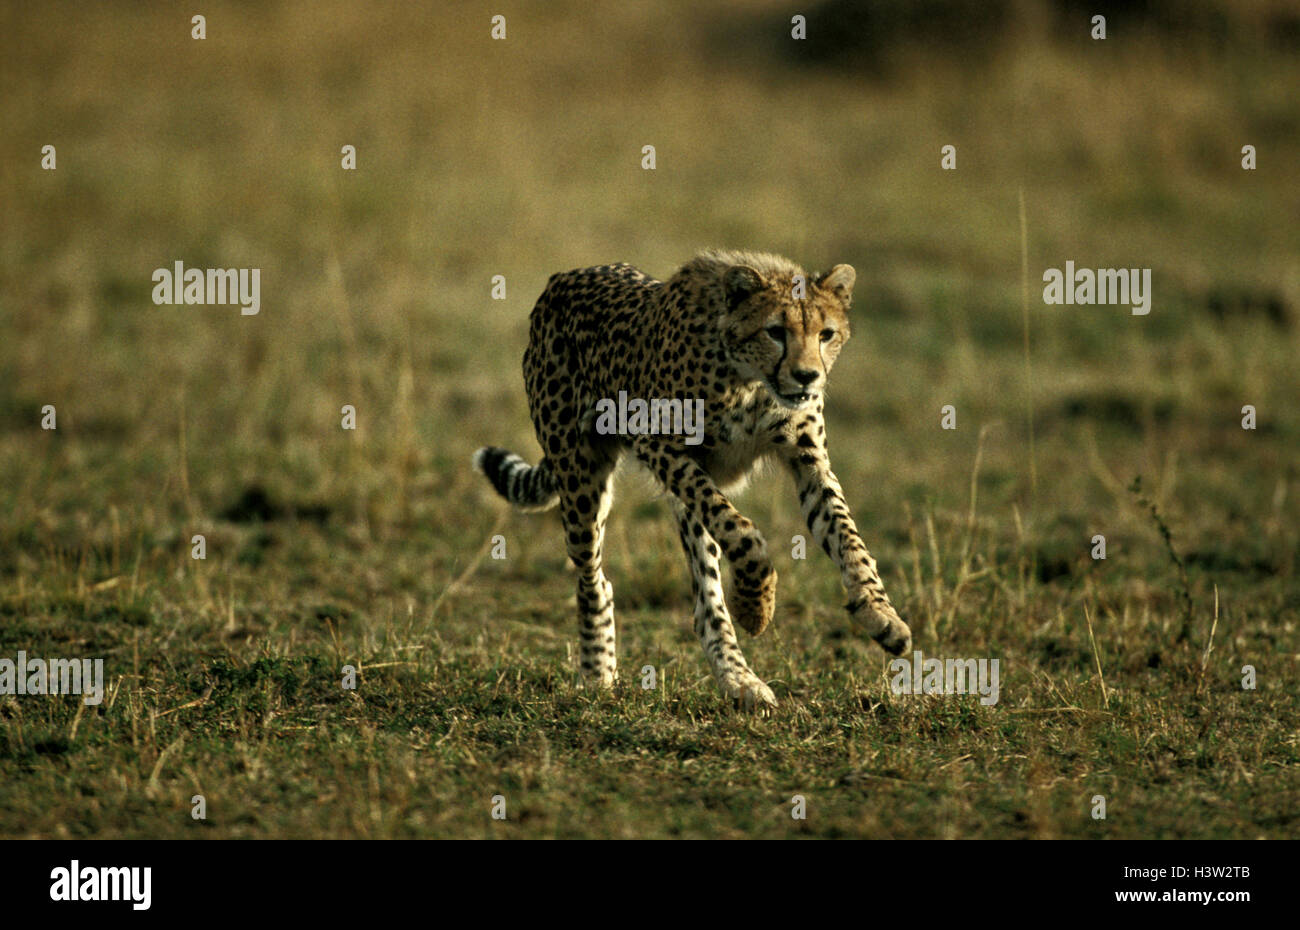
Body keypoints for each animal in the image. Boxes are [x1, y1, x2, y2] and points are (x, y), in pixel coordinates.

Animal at [473, 251, 909, 717]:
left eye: (826, 334)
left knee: (703, 597)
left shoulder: (809, 461)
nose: (808, 376)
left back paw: (738, 680)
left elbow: (848, 536)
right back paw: (598, 672)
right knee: (595, 577)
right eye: (775, 331)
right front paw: (755, 605)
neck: (751, 381)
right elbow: (745, 532)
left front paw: (882, 616)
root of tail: (565, 277)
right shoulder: (657, 442)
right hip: (581, 481)